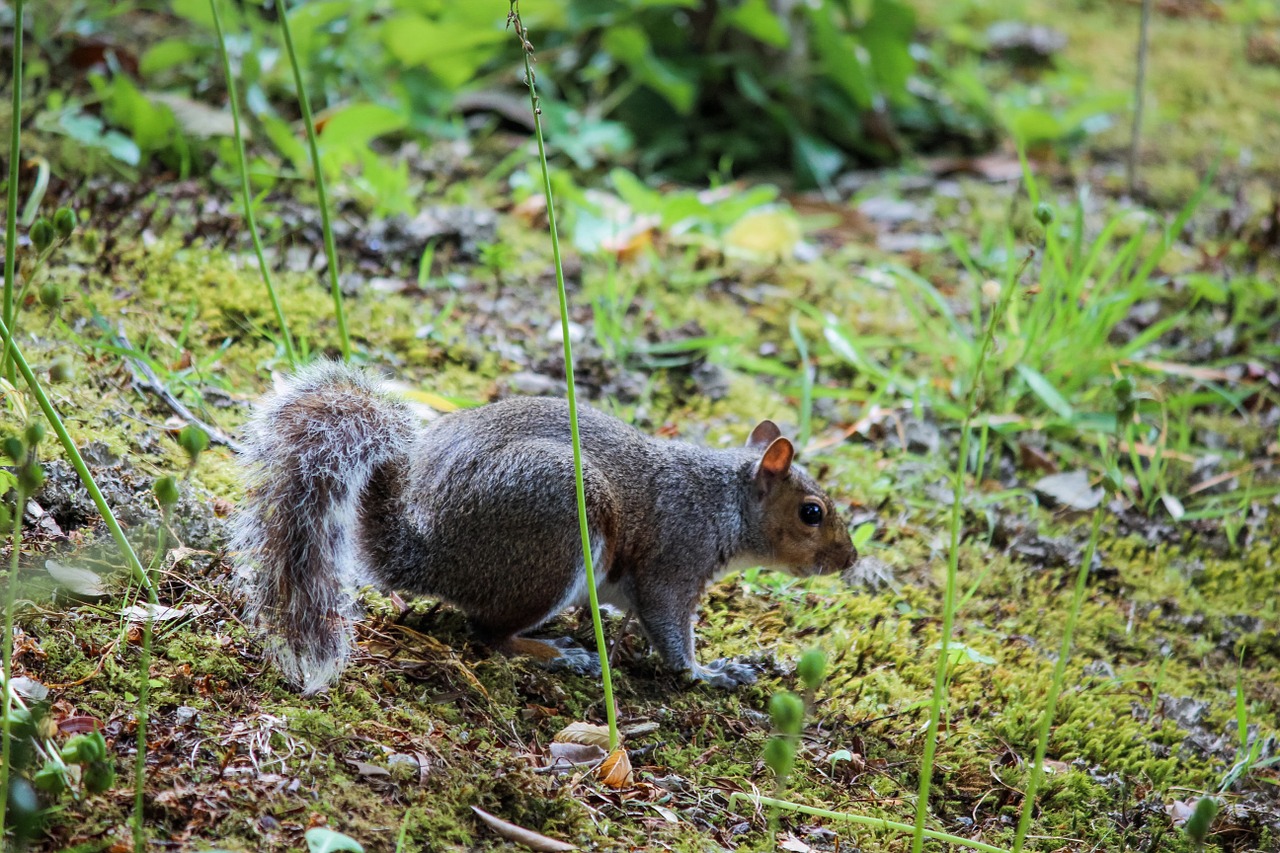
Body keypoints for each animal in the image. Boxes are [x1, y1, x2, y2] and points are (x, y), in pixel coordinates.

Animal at [234, 358, 855, 691]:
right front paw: (710, 672)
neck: (722, 500)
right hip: (557, 534)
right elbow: (670, 626)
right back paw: (558, 653)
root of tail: (427, 550)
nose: (848, 560)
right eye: (812, 512)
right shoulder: (676, 559)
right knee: (487, 634)